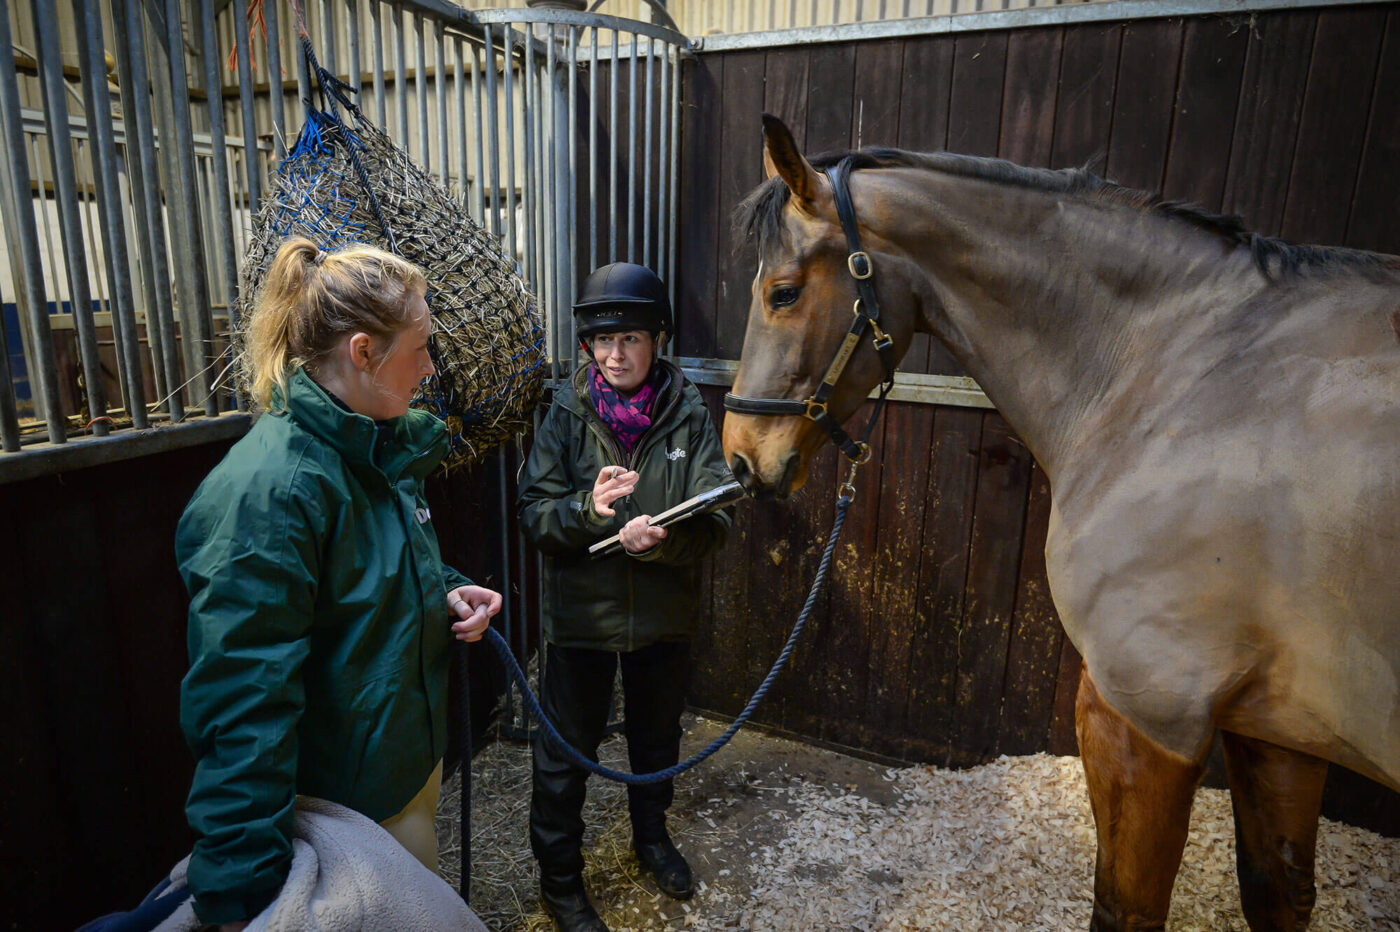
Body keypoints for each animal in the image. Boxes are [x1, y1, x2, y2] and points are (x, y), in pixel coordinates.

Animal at [722, 116, 1400, 929]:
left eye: (783, 293)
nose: (740, 456)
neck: (1170, 375)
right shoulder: (1280, 734)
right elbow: (1275, 890)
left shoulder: (1145, 716)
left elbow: (1125, 907)